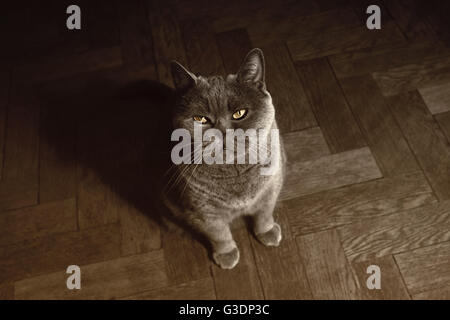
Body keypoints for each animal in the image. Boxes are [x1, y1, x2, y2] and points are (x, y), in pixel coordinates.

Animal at [164, 48, 284, 268]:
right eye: (200, 119)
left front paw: (267, 232)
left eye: (239, 113)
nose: (221, 131)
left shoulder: (271, 186)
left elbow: (264, 213)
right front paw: (227, 254)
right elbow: (218, 233)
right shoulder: (202, 210)